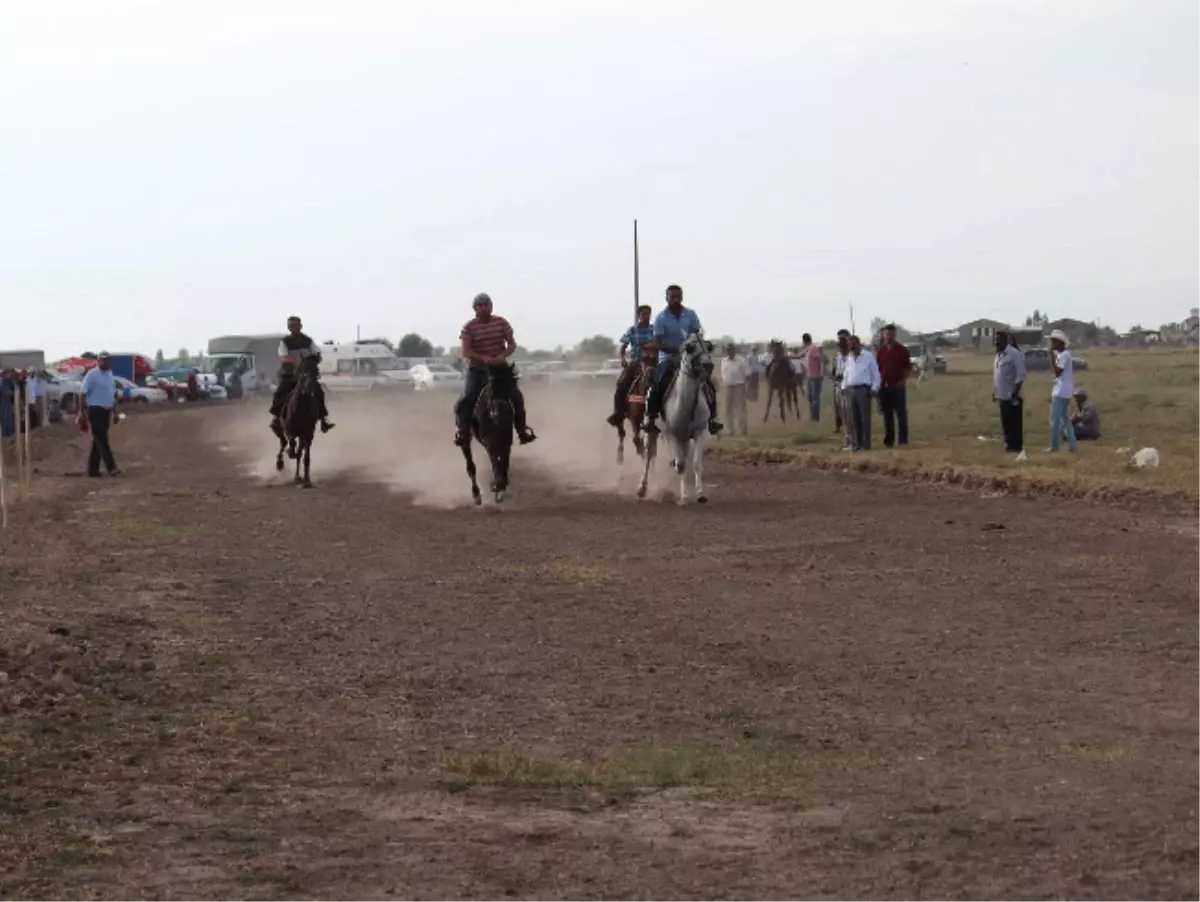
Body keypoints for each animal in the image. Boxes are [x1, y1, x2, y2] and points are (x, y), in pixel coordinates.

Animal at [458, 367, 516, 508]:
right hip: (465, 440)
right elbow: (495, 460)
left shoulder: (507, 440)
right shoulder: (490, 442)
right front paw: (498, 486)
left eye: (509, 385)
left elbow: (504, 460)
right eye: (491, 388)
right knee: (471, 467)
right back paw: (476, 495)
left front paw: (501, 485)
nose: (500, 414)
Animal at [638, 331, 710, 503]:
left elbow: (696, 464)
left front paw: (700, 493)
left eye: (708, 345)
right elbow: (681, 464)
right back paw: (642, 487)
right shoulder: (674, 434)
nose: (708, 365)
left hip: (685, 437)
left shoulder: (699, 432)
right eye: (690, 347)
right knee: (649, 455)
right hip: (652, 430)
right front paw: (684, 496)